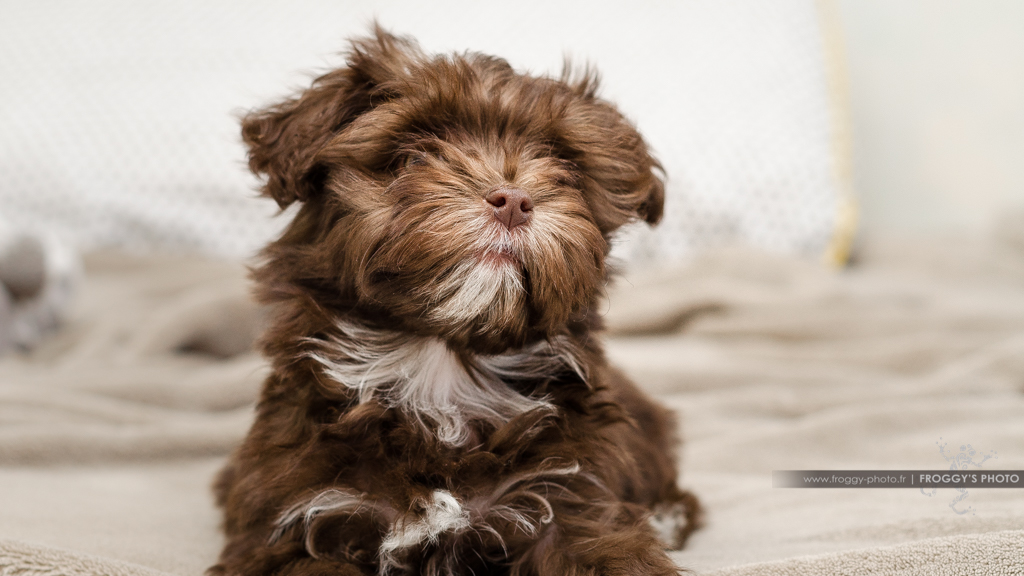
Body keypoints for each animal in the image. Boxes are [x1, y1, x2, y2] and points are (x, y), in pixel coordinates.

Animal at [211, 29, 700, 573]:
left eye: (564, 166)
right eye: (413, 155)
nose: (513, 200)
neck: (440, 370)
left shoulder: (572, 497)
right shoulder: (298, 516)